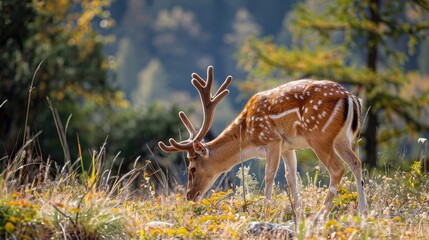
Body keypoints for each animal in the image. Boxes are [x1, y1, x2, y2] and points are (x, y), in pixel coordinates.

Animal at [159, 65, 366, 221]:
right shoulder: (288, 146)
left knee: (337, 169)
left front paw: (265, 214)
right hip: (341, 139)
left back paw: (320, 216)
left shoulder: (272, 140)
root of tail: (351, 97)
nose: (190, 195)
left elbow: (269, 176)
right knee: (356, 162)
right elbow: (291, 177)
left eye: (192, 168)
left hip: (319, 135)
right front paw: (298, 214)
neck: (247, 135)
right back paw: (364, 212)